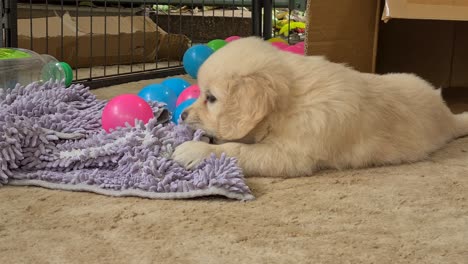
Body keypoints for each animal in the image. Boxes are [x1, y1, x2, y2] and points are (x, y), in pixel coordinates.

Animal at [172, 36, 468, 177]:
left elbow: (237, 150)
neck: (290, 103)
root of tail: (448, 115)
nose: (182, 115)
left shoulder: (292, 155)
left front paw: (194, 149)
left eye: (211, 98)